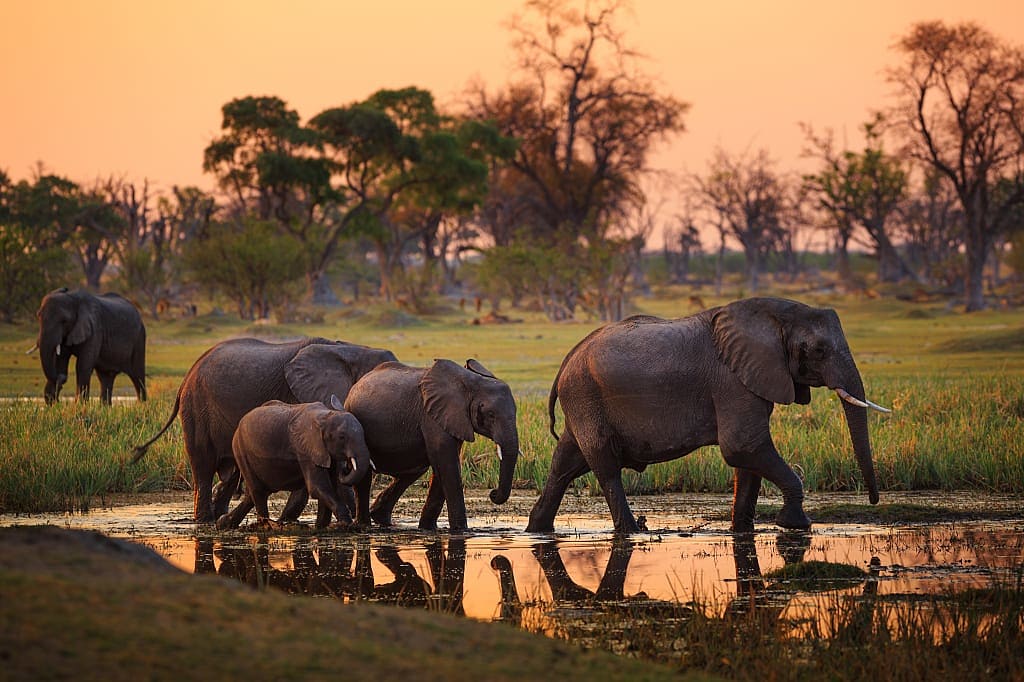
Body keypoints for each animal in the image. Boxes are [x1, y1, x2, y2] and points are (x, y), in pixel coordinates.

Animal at [215, 396, 371, 530]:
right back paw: (265, 525)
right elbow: (317, 487)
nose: (346, 467)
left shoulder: (324, 452)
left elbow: (330, 485)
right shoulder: (305, 449)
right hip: (240, 450)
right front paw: (345, 524)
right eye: (342, 437)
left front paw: (321, 527)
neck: (326, 416)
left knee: (253, 495)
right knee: (258, 492)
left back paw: (222, 523)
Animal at [343, 359, 520, 532]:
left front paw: (428, 528)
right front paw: (461, 531)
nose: (493, 493)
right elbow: (447, 465)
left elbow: (443, 465)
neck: (471, 382)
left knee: (413, 471)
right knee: (365, 475)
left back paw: (381, 518)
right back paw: (364, 525)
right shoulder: (432, 416)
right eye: (491, 414)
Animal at [526, 297, 890, 534]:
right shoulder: (732, 380)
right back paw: (633, 531)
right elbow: (742, 446)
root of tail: (567, 359)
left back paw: (537, 529)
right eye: (818, 350)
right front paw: (795, 525)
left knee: (565, 464)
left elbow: (747, 458)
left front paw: (742, 530)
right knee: (605, 467)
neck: (774, 316)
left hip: (582, 402)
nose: (873, 501)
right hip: (585, 396)